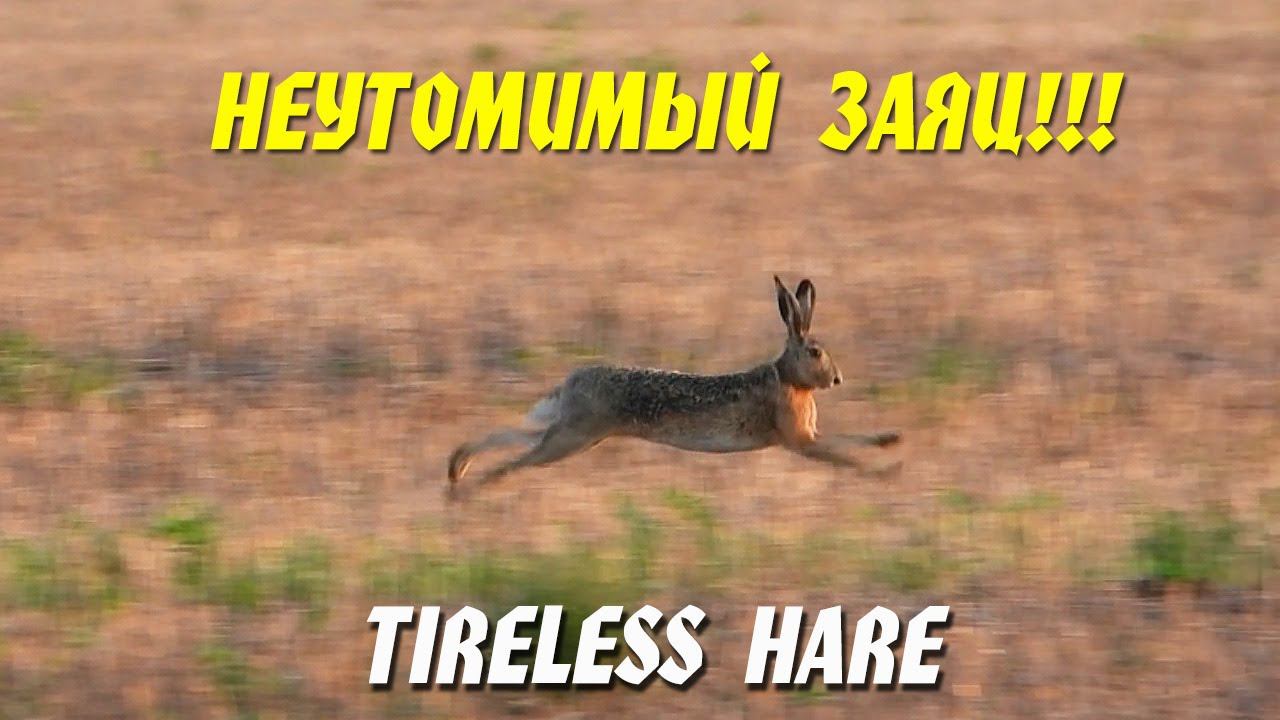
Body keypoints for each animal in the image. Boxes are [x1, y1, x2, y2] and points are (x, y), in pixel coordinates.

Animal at [447, 276, 901, 498]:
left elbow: (850, 439)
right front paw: (883, 473)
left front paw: (890, 441)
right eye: (815, 352)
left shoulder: (808, 434)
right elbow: (842, 456)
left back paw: (457, 468)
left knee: (515, 435)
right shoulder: (799, 441)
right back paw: (468, 489)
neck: (787, 378)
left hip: (576, 431)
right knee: (517, 459)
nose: (837, 380)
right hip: (573, 436)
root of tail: (573, 379)